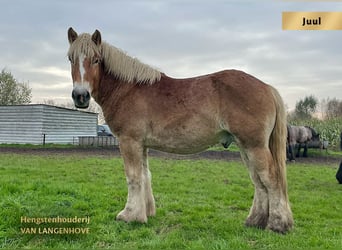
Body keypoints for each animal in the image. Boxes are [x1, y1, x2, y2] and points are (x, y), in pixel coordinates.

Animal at [67, 28, 294, 233]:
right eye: (70, 58)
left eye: (96, 60)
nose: (80, 96)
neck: (128, 89)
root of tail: (266, 87)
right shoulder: (142, 145)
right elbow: (145, 175)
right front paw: (146, 213)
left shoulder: (129, 141)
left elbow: (133, 177)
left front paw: (129, 216)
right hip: (245, 147)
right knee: (258, 182)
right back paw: (255, 221)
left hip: (254, 146)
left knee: (270, 179)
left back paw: (277, 225)